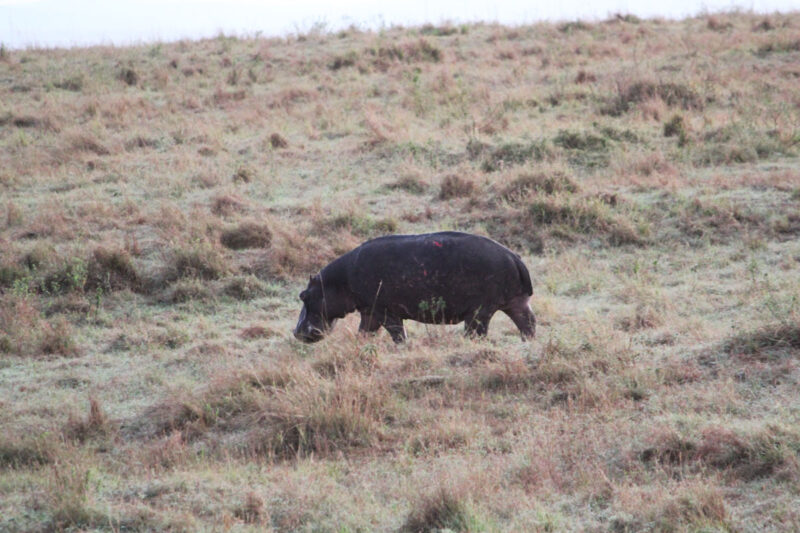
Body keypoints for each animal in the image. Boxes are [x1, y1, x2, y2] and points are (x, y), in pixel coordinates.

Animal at [290, 231, 536, 342]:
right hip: (515, 303)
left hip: (479, 311)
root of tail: (514, 257)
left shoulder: (384, 311)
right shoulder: (370, 312)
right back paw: (528, 342)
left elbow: (397, 334)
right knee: (528, 323)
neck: (339, 282)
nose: (296, 332)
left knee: (477, 332)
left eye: (304, 296)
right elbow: (364, 333)